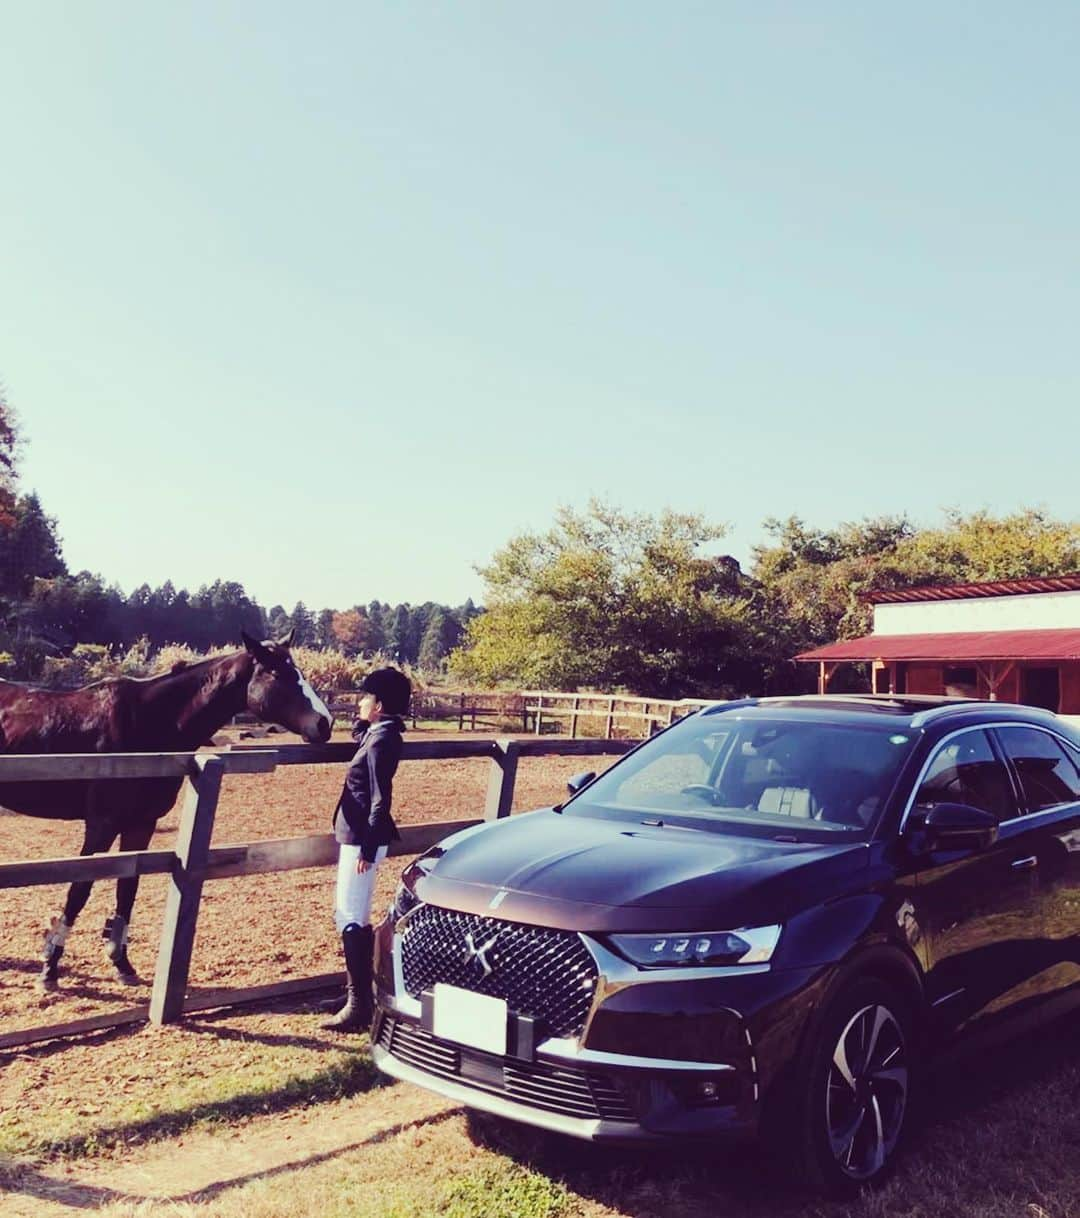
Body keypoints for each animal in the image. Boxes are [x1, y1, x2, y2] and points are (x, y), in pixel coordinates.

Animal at [0, 633, 333, 984]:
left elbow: (127, 887)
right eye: (277, 673)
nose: (324, 723)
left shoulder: (141, 824)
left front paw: (121, 963)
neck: (148, 724)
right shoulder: (102, 823)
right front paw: (50, 965)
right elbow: (80, 889)